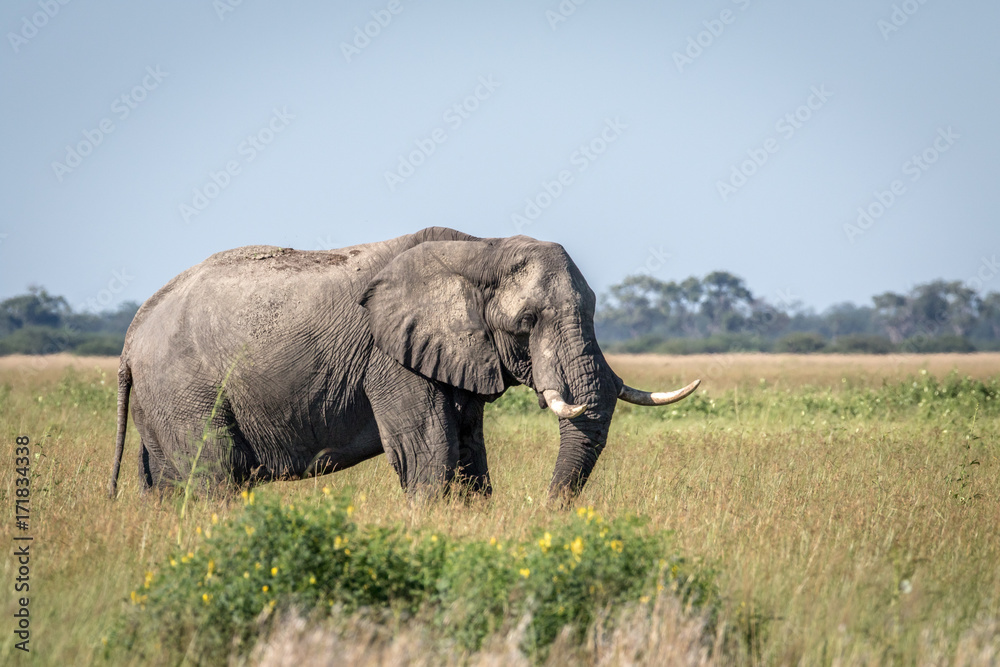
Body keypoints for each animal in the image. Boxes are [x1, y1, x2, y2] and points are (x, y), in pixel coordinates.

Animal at [108, 227, 700, 501]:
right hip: (184, 392)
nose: (544, 507)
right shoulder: (391, 360)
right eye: (528, 321)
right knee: (210, 478)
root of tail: (132, 335)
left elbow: (468, 454)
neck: (480, 249)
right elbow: (430, 455)